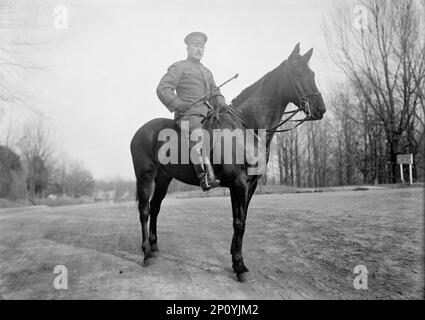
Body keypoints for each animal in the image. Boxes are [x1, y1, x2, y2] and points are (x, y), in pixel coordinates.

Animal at [129, 43, 324, 282]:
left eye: (312, 73)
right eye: (296, 71)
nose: (320, 109)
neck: (248, 127)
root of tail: (140, 131)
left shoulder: (250, 184)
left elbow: (242, 219)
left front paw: (234, 256)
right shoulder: (238, 183)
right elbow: (239, 222)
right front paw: (240, 266)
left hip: (164, 178)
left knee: (155, 207)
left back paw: (155, 249)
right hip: (145, 176)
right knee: (144, 210)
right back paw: (147, 253)